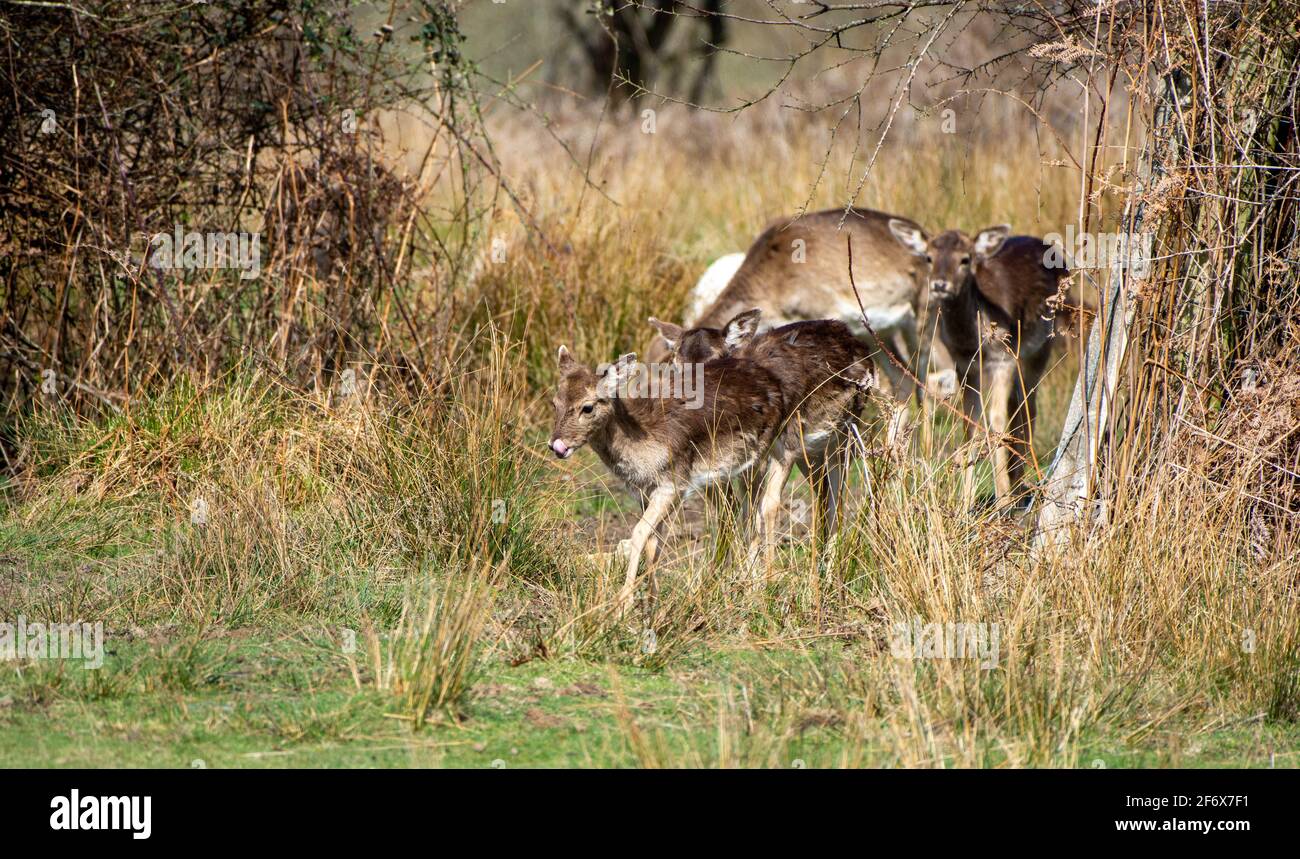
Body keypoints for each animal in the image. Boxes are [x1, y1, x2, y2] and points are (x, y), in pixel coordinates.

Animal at [546, 345, 780, 613]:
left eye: (587, 407)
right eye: (555, 403)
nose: (556, 445)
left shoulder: (673, 484)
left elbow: (638, 533)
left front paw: (623, 605)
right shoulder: (643, 492)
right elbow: (652, 543)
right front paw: (652, 603)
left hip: (759, 455)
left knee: (756, 511)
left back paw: (756, 586)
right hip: (717, 475)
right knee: (732, 511)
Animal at [647, 309, 873, 556]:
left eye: (717, 360)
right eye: (676, 365)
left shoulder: (786, 444)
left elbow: (768, 506)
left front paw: (766, 566)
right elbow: (738, 510)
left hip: (843, 432)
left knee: (837, 493)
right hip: (811, 452)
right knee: (820, 491)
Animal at [889, 220, 1071, 509]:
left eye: (965, 259)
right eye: (929, 257)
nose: (940, 284)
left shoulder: (1004, 358)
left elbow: (996, 421)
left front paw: (1003, 500)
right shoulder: (964, 365)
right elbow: (971, 426)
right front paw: (965, 504)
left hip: (1041, 346)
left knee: (1028, 406)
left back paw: (1019, 487)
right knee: (1017, 405)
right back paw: (1016, 480)